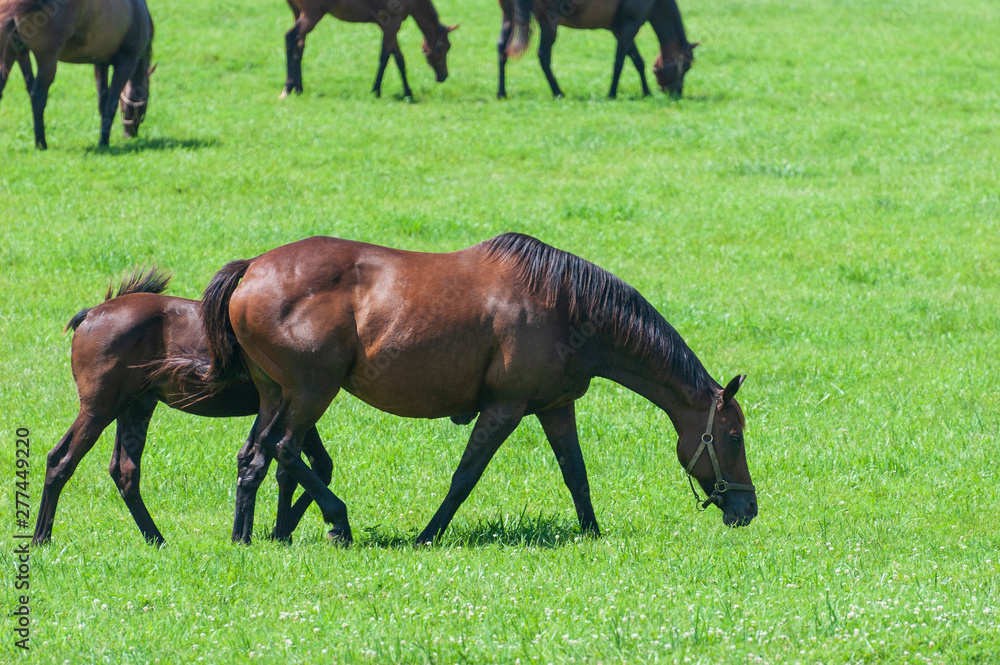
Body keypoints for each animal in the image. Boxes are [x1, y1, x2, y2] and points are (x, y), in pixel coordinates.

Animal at [0, 0, 153, 149]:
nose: (131, 134)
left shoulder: (101, 63)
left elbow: (102, 102)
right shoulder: (126, 63)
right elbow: (111, 103)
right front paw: (104, 141)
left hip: (11, 51)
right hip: (47, 59)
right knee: (38, 96)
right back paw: (41, 143)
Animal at [34, 268, 334, 547]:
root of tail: (92, 314)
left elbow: (312, 466)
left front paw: (283, 532)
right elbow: (294, 468)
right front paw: (286, 531)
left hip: (135, 408)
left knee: (124, 471)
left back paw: (157, 539)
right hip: (99, 410)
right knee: (61, 459)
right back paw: (41, 537)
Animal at [178, 233, 757, 546]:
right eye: (733, 438)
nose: (747, 508)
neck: (566, 305)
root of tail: (251, 268)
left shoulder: (555, 408)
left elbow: (577, 476)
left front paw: (592, 533)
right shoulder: (504, 409)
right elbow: (465, 477)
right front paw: (427, 535)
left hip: (276, 396)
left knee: (255, 457)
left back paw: (250, 535)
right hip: (311, 393)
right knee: (285, 450)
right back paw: (337, 521)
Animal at [281, 0, 457, 99]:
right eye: (447, 46)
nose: (444, 75)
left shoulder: (389, 26)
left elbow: (398, 59)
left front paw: (407, 91)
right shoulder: (392, 23)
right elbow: (385, 58)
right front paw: (376, 90)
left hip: (298, 12)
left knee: (299, 47)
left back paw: (298, 87)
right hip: (312, 15)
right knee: (290, 37)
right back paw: (288, 87)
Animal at [496, 0, 697, 99]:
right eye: (686, 66)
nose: (676, 93)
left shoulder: (619, 29)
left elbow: (637, 60)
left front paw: (646, 91)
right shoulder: (630, 26)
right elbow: (619, 62)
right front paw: (612, 93)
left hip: (508, 16)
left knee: (502, 49)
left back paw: (501, 92)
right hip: (548, 22)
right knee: (543, 56)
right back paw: (558, 92)